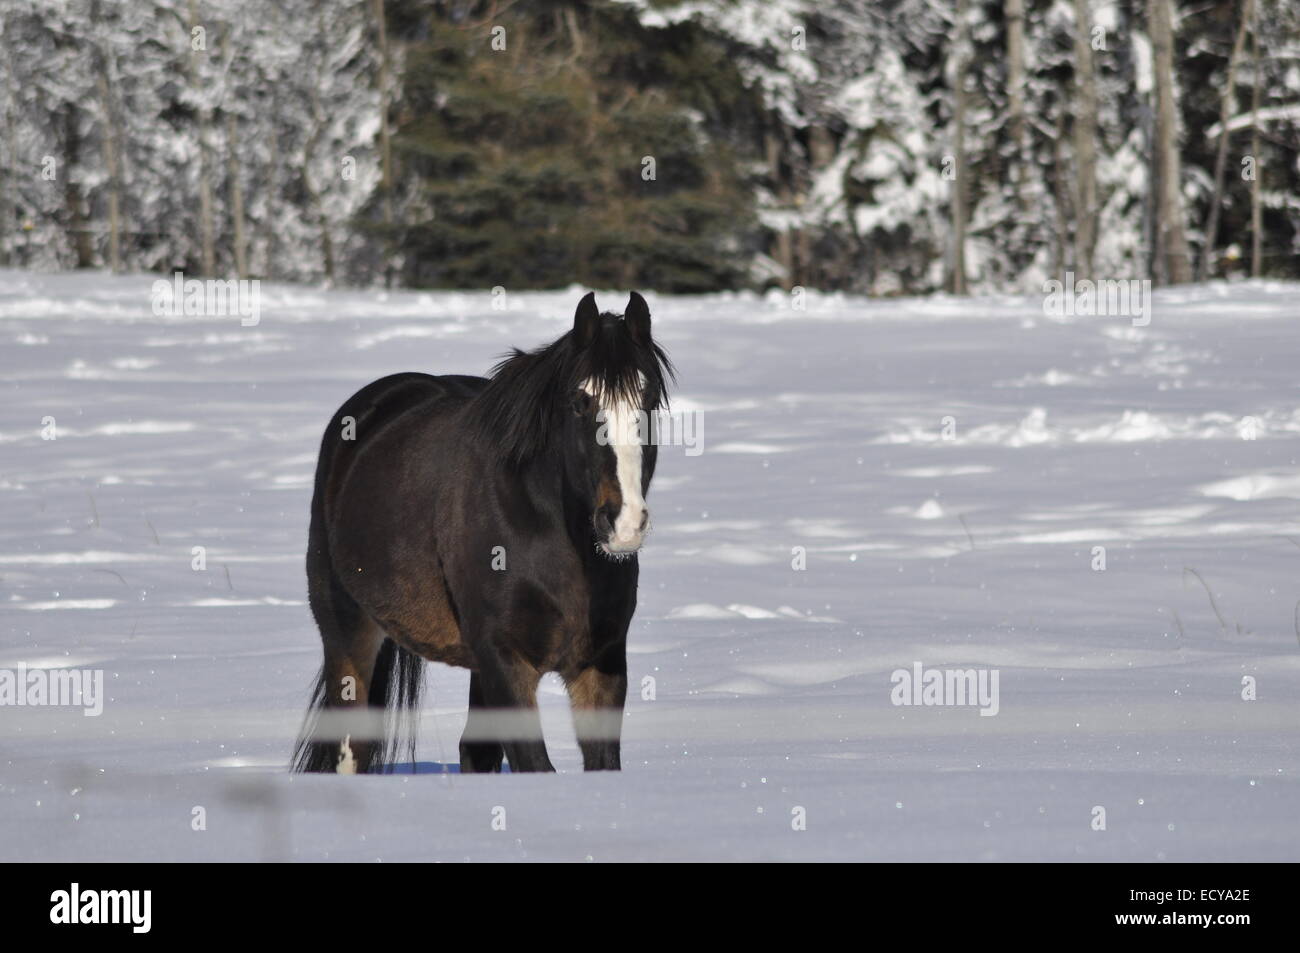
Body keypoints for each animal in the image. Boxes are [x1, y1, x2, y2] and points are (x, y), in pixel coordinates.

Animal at [293, 291, 670, 774]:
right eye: (580, 401)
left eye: (650, 398)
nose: (623, 523)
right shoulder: (505, 661)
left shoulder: (601, 663)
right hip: (346, 630)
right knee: (351, 746)